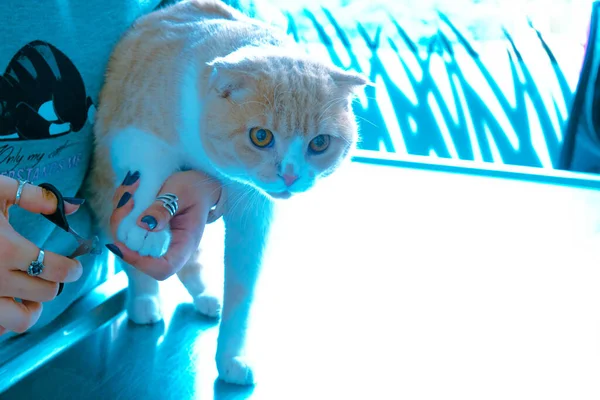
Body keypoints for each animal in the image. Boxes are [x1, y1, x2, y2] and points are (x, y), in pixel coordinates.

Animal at [84, 0, 366, 384]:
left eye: (320, 143)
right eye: (261, 136)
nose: (290, 175)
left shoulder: (254, 215)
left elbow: (242, 293)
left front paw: (232, 357)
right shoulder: (132, 131)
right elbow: (148, 168)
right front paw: (146, 228)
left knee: (192, 260)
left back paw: (206, 298)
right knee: (135, 266)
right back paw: (145, 301)